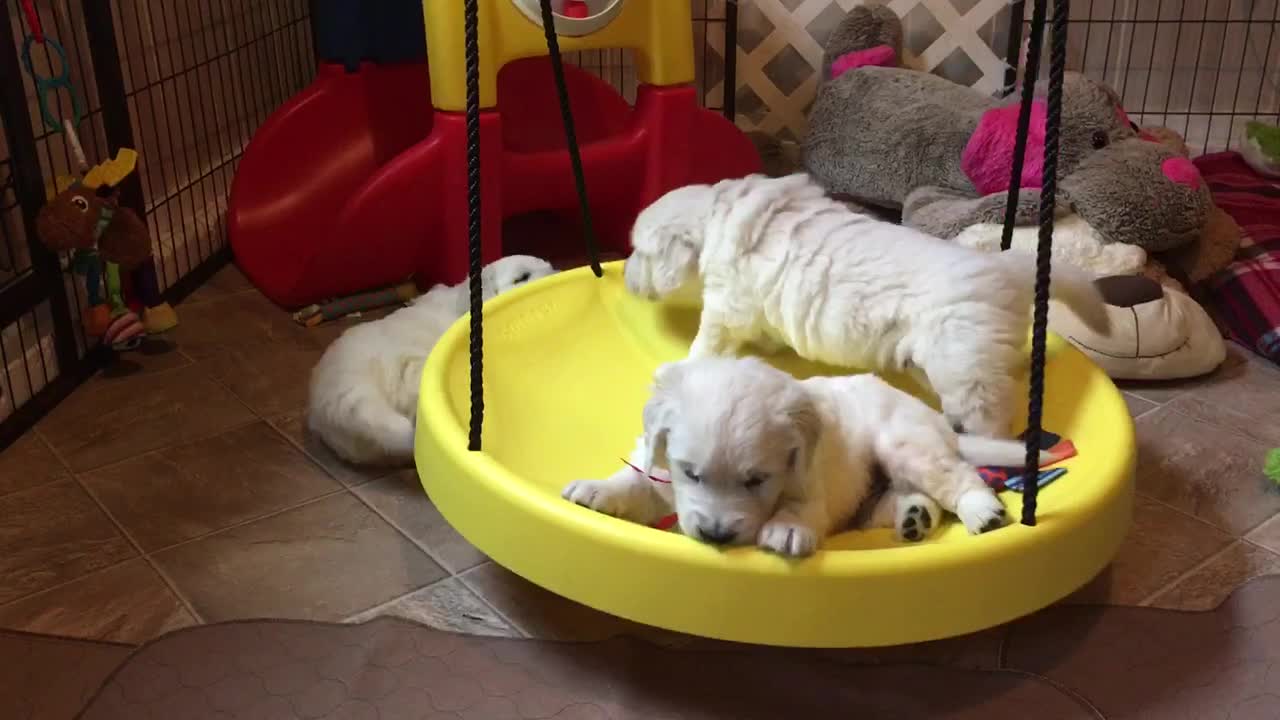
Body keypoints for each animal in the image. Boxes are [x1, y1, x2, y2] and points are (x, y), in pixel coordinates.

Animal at [565, 353, 1044, 556]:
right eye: (690, 473)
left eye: (757, 480)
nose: (716, 535)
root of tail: (937, 419)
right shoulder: (658, 466)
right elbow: (635, 480)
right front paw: (595, 491)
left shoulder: (811, 478)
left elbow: (801, 505)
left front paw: (786, 530)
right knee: (902, 498)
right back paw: (914, 517)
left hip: (904, 442)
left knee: (956, 477)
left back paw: (982, 512)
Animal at [619, 172, 1111, 438]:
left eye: (639, 252)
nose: (625, 279)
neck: (712, 220)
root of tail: (1006, 269)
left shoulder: (726, 304)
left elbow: (707, 341)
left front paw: (682, 367)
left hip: (964, 359)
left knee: (988, 412)